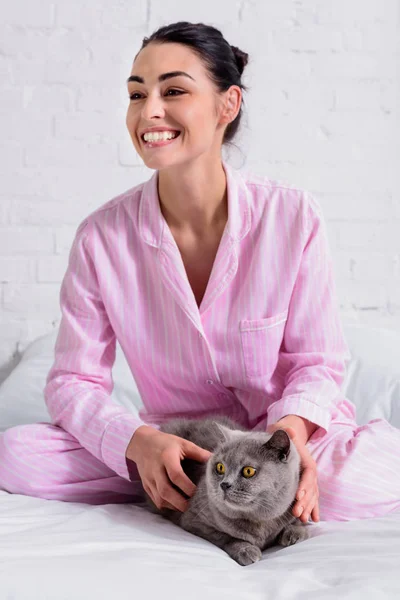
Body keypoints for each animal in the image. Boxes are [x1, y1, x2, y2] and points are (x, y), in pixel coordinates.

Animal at [142, 414, 310, 564]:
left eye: (248, 471)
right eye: (220, 467)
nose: (224, 484)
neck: (259, 523)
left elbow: (297, 520)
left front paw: (295, 532)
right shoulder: (194, 521)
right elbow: (226, 537)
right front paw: (247, 550)